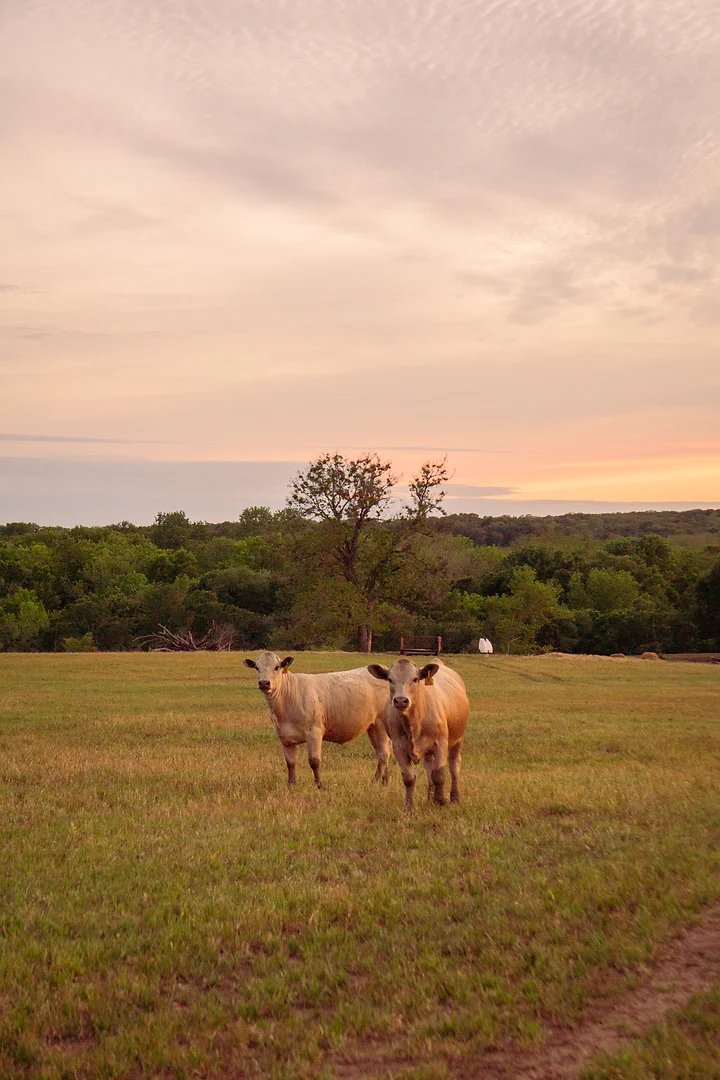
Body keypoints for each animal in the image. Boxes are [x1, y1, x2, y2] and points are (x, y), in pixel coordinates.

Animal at [244, 652, 392, 789]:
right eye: (256, 667)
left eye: (277, 667)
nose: (264, 683)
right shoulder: (284, 737)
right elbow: (290, 763)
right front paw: (291, 784)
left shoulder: (314, 732)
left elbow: (314, 761)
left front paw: (319, 785)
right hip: (372, 727)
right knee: (383, 752)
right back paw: (385, 781)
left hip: (381, 724)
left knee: (383, 753)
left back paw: (375, 781)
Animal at [368, 658, 469, 811]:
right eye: (390, 679)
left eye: (415, 679)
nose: (401, 700)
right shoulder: (398, 747)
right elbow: (409, 778)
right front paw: (409, 808)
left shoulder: (441, 742)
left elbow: (439, 774)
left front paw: (441, 800)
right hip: (428, 751)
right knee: (429, 769)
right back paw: (429, 798)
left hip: (457, 740)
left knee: (454, 766)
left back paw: (454, 797)